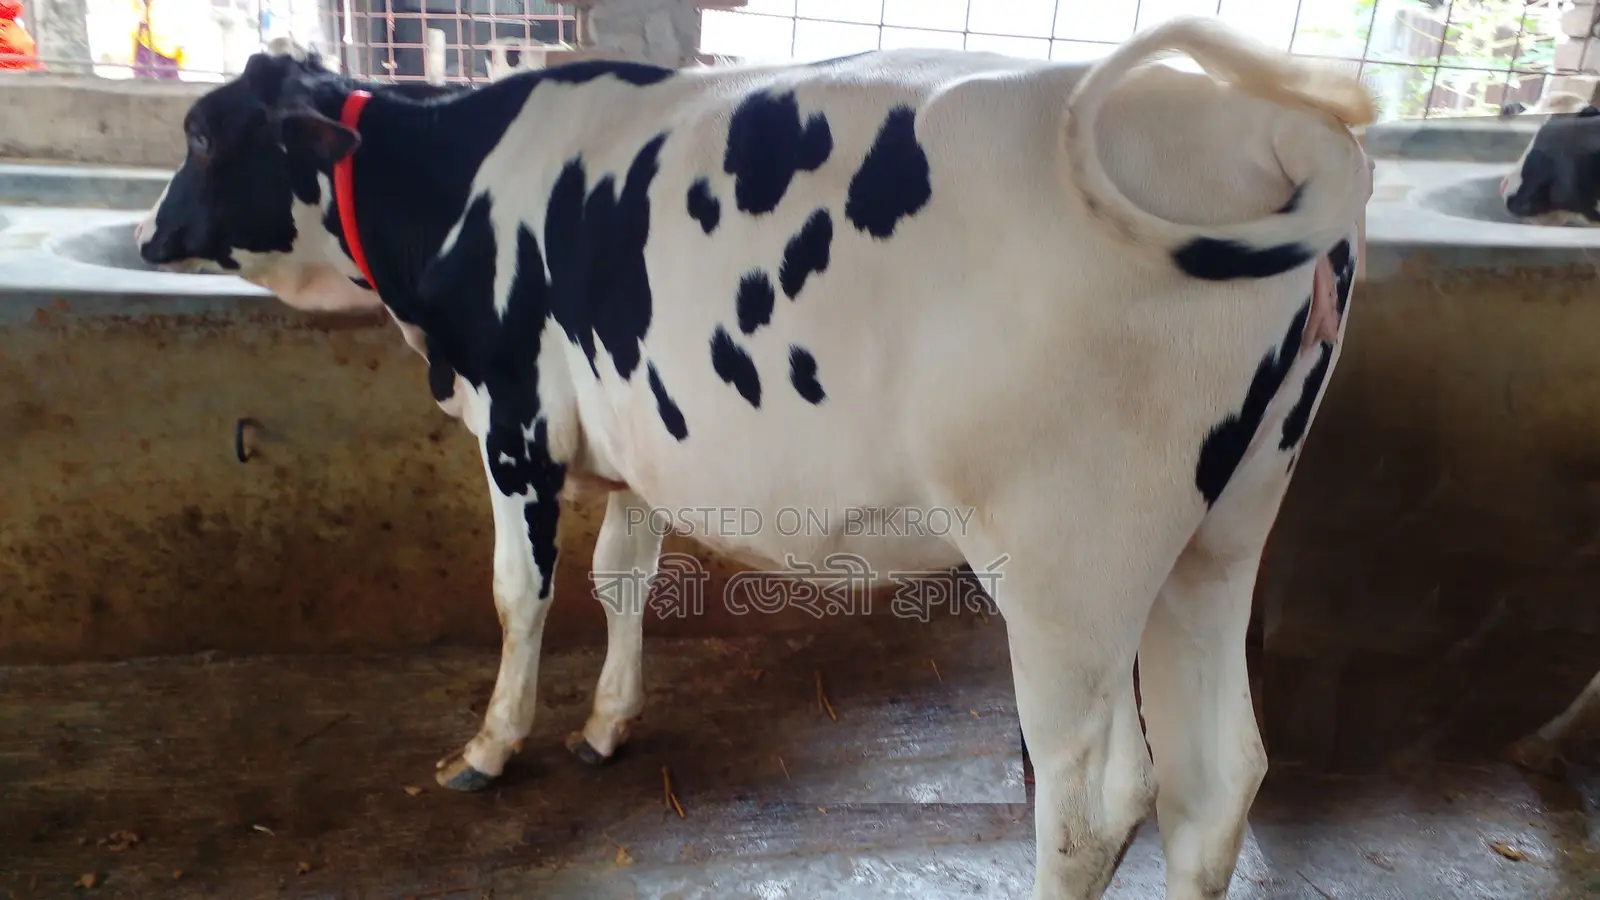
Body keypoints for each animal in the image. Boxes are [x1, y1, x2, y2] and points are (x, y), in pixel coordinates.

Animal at [133, 17, 1374, 898]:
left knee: (1093, 801)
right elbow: (619, 578)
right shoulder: (635, 436)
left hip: (1071, 562)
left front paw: (489, 747)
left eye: (201, 133)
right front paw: (607, 724)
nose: (149, 234)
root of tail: (1271, 127)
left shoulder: (514, 422)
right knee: (1215, 782)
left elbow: (519, 593)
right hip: (1220, 532)